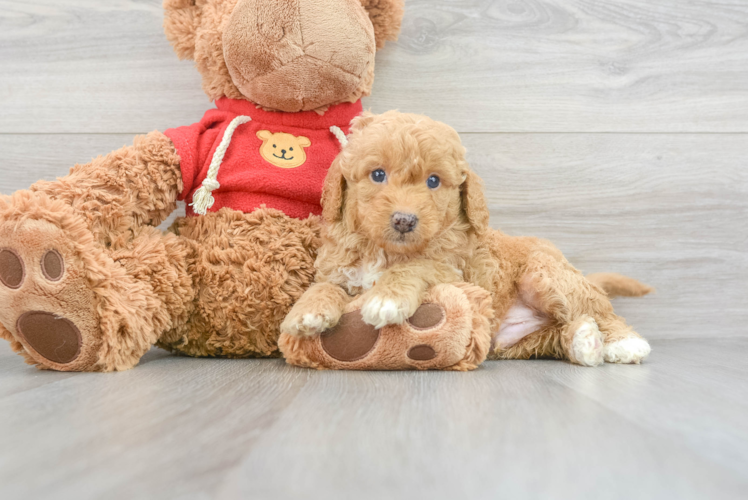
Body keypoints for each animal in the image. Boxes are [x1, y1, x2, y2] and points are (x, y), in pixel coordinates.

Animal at [280, 110, 648, 368]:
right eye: (378, 175)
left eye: (433, 181)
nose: (404, 220)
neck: (384, 251)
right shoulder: (338, 270)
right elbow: (325, 286)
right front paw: (307, 312)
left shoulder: (453, 269)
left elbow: (415, 267)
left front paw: (387, 298)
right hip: (523, 341)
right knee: (559, 335)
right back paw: (585, 343)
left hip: (546, 274)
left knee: (599, 310)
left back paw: (622, 343)